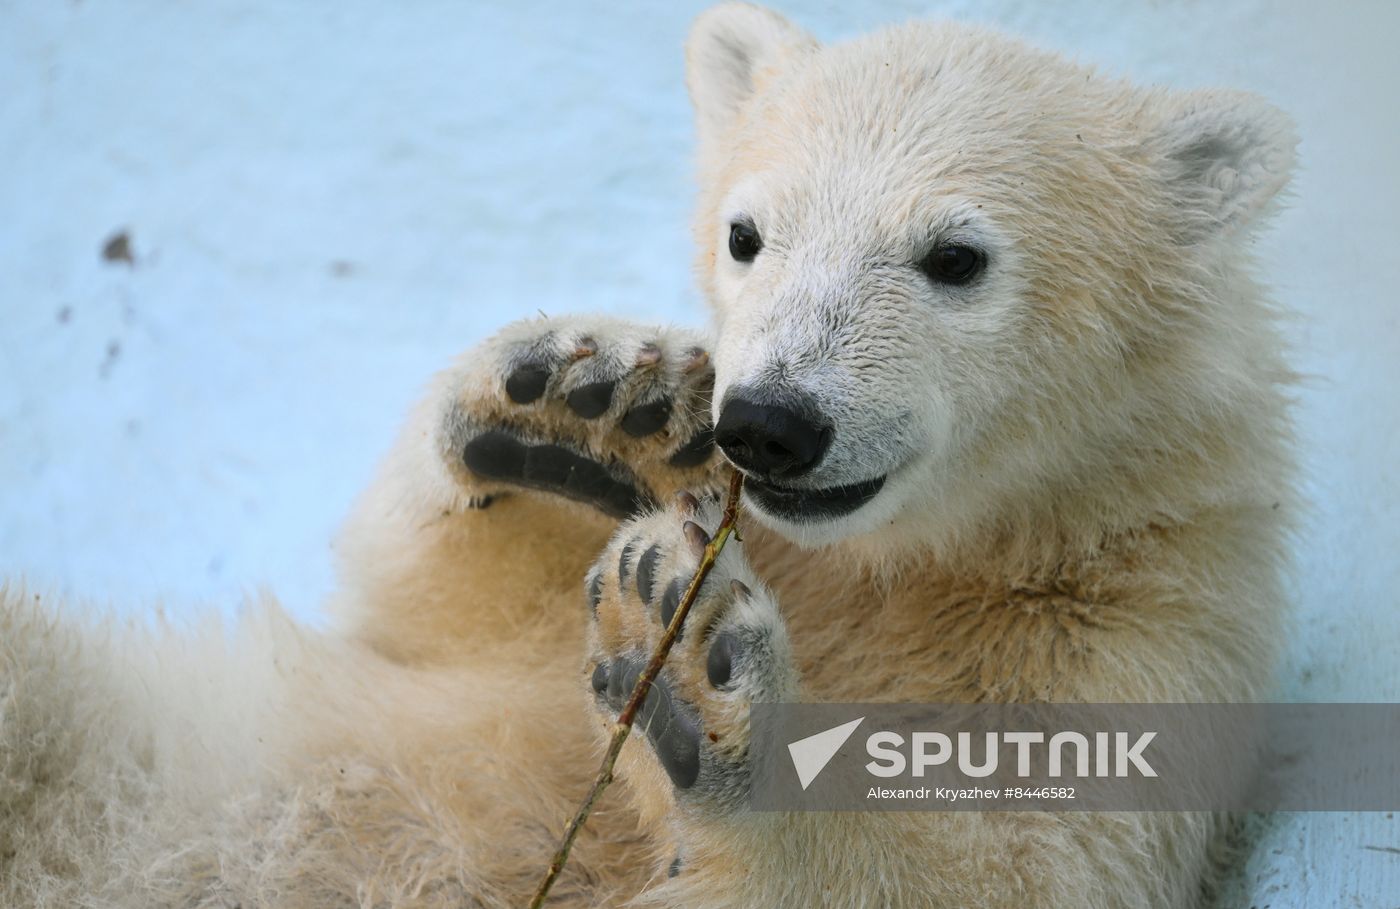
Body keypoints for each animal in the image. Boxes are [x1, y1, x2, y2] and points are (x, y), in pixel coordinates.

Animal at [0, 3, 1297, 907]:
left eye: (955, 257)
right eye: (746, 233)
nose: (769, 420)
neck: (924, 566)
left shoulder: (1137, 632)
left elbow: (993, 866)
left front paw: (688, 671)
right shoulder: (491, 656)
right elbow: (432, 611)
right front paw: (588, 398)